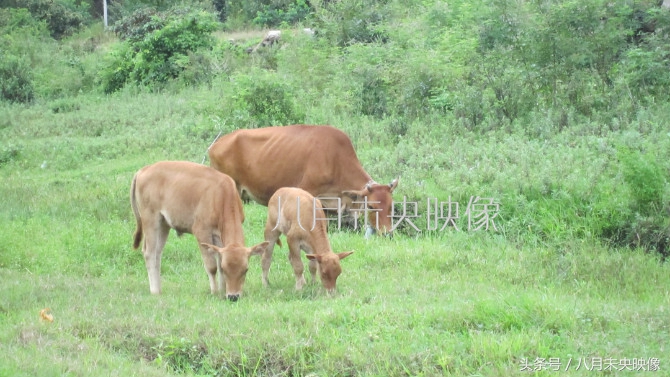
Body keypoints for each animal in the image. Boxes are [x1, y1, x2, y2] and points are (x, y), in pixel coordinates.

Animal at [130, 160, 270, 302]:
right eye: (226, 269)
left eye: (245, 269)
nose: (233, 296)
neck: (221, 195)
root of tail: (143, 170)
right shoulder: (201, 232)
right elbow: (212, 266)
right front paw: (214, 292)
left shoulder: (218, 236)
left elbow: (218, 259)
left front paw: (222, 291)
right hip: (151, 220)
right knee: (149, 253)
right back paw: (154, 291)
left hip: (164, 224)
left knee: (158, 254)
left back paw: (159, 289)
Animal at [210, 123, 400, 235]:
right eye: (371, 206)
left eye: (391, 206)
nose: (388, 233)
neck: (336, 159)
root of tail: (215, 145)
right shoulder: (306, 191)